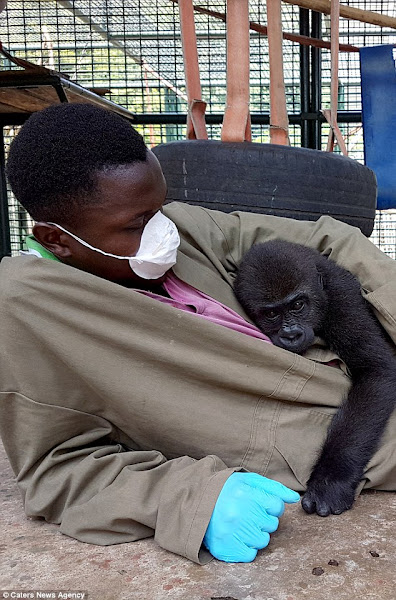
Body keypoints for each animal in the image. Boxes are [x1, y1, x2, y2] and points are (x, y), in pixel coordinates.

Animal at [234, 239, 396, 516]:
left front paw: (331, 479)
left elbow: (376, 370)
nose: (291, 335)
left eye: (298, 305)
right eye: (271, 314)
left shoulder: (342, 300)